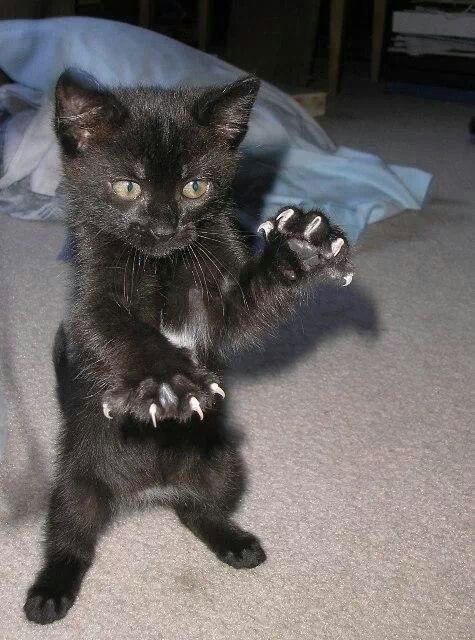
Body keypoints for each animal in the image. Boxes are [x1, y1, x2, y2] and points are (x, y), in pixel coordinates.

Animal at [23, 71, 354, 624]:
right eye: (127, 186)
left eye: (194, 187)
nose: (164, 227)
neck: (161, 264)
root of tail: (147, 490)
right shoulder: (93, 303)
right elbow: (121, 332)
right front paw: (166, 382)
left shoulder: (219, 299)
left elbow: (247, 307)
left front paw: (300, 249)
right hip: (77, 479)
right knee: (72, 533)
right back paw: (51, 590)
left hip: (222, 461)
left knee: (196, 509)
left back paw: (232, 540)